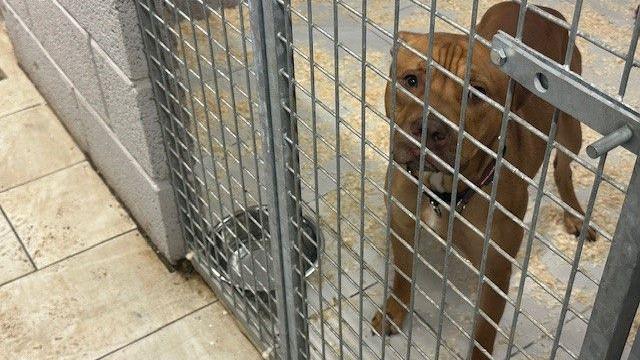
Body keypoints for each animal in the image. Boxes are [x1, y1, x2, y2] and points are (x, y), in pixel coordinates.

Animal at [370, 2, 596, 358]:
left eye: (477, 93)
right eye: (411, 80)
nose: (431, 128)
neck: (445, 191)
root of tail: (544, 10)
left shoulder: (496, 271)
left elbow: (484, 332)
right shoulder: (402, 223)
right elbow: (402, 276)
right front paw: (394, 311)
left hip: (572, 127)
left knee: (563, 167)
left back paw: (575, 215)